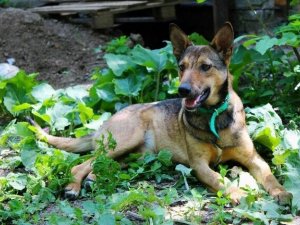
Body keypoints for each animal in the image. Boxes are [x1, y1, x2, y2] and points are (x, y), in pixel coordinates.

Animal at [31, 22, 292, 204]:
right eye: (181, 67)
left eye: (205, 67)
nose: (182, 90)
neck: (213, 115)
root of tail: (102, 126)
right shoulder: (199, 165)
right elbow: (219, 179)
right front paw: (239, 192)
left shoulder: (252, 157)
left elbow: (269, 174)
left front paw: (282, 192)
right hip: (124, 141)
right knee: (80, 165)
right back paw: (73, 187)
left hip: (136, 155)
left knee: (102, 164)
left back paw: (92, 180)